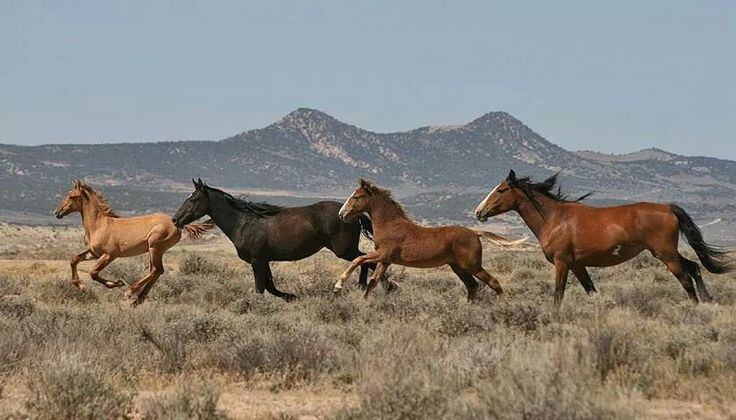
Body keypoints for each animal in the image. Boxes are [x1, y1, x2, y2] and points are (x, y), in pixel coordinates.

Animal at [53, 180, 214, 306]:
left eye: (72, 196)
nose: (57, 213)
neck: (99, 225)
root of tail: (177, 223)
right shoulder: (94, 253)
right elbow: (74, 260)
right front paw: (81, 286)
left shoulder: (109, 255)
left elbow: (93, 272)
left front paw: (117, 283)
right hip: (154, 251)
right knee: (156, 271)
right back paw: (138, 300)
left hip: (155, 247)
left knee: (156, 270)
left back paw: (130, 292)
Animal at [171, 179, 377, 301]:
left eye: (194, 199)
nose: (175, 219)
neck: (243, 222)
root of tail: (352, 214)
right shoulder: (264, 260)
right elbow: (270, 286)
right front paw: (290, 296)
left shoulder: (256, 260)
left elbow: (261, 287)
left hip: (344, 250)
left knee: (366, 260)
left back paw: (367, 286)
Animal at [336, 178, 527, 300]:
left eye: (356, 196)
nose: (341, 215)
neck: (390, 225)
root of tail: (475, 233)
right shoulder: (385, 260)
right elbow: (373, 282)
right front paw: (364, 302)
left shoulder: (383, 254)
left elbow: (358, 259)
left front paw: (338, 285)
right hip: (458, 267)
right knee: (472, 286)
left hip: (471, 266)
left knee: (492, 282)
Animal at [474, 170, 733, 306]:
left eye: (501, 190)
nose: (478, 212)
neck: (554, 218)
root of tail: (668, 208)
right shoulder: (577, 265)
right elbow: (591, 290)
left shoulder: (562, 262)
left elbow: (558, 294)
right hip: (667, 252)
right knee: (695, 267)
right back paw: (708, 300)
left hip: (665, 254)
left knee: (686, 279)